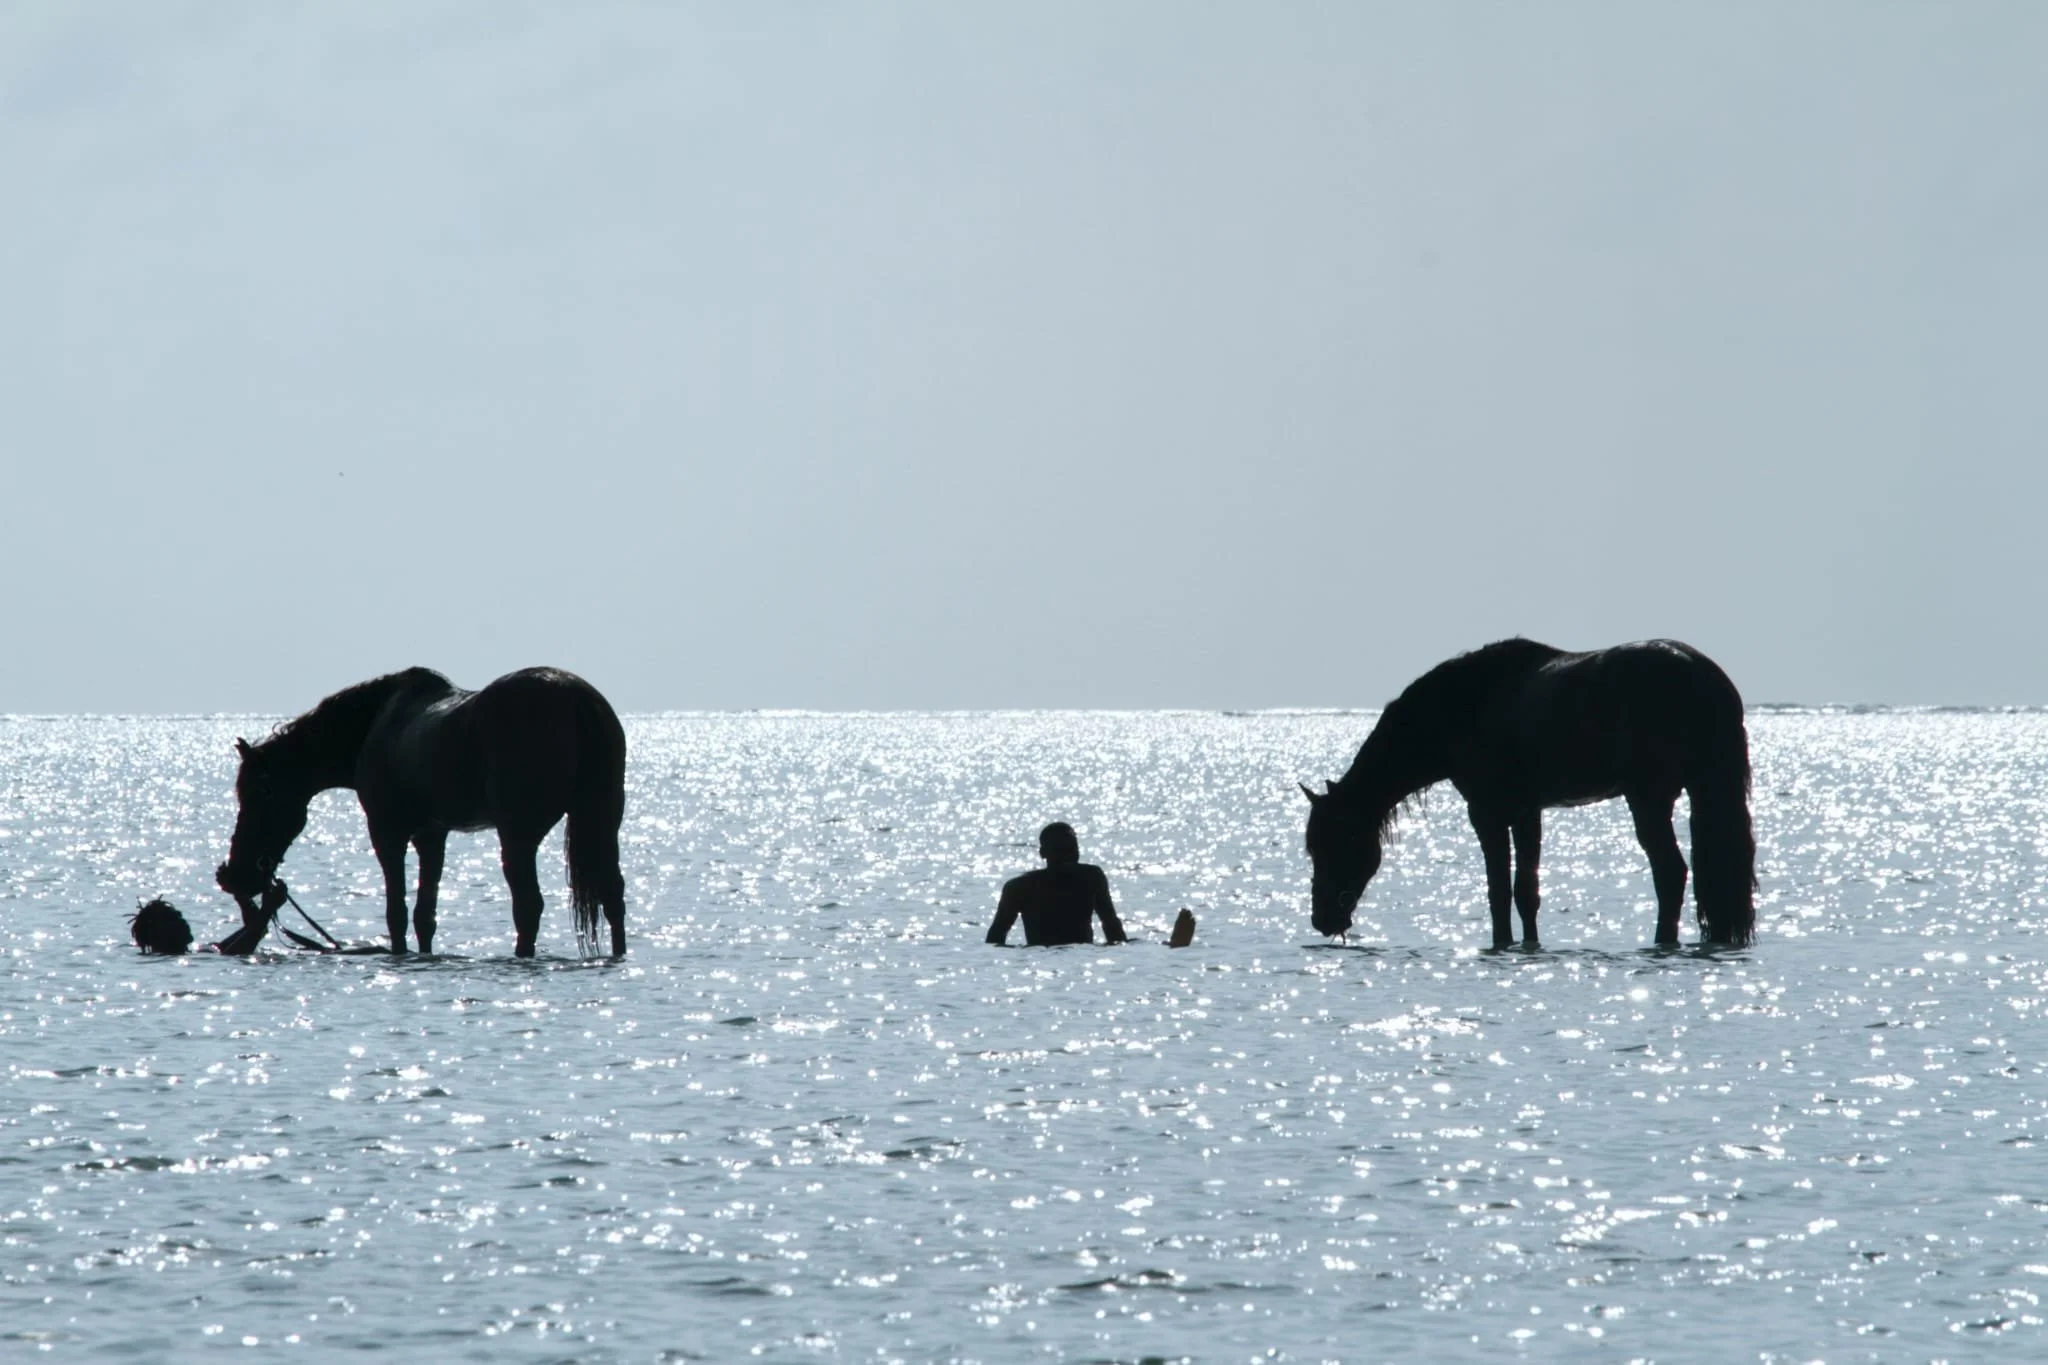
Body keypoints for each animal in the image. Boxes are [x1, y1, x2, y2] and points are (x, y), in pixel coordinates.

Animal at [212, 666, 628, 958]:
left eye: (259, 795)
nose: (233, 876)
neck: (374, 726)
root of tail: (578, 701)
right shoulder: (432, 834)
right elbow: (424, 913)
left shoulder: (387, 832)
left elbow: (396, 910)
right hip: (601, 822)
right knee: (612, 896)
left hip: (518, 835)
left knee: (528, 904)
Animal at [1302, 638, 1756, 949]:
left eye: (1332, 843)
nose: (1323, 919)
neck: (1464, 706)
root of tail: (1702, 675)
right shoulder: (1526, 812)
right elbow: (1526, 892)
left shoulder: (1485, 812)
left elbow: (1499, 890)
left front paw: (1502, 944)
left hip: (1649, 798)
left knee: (1670, 872)